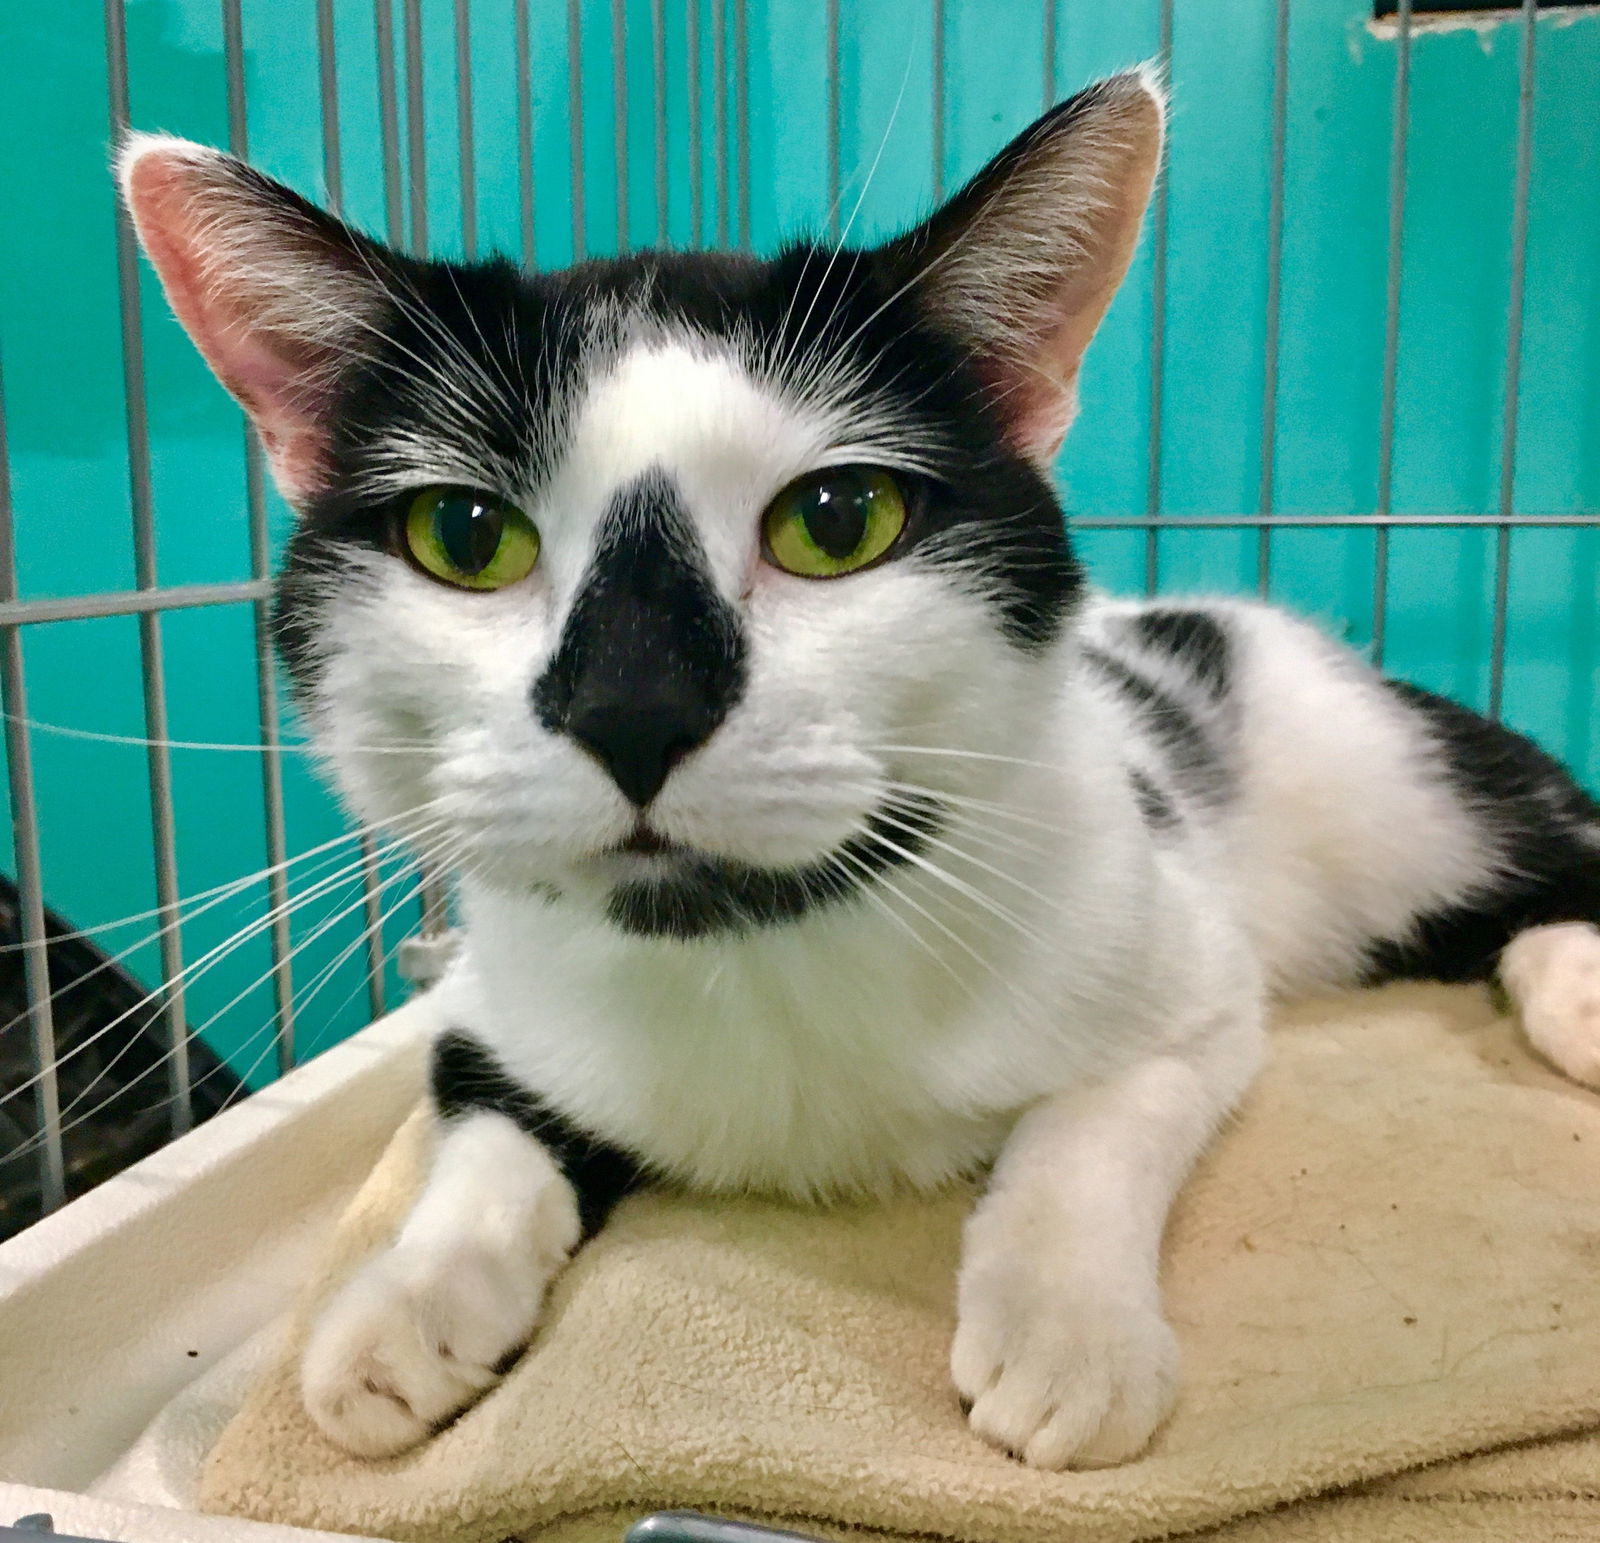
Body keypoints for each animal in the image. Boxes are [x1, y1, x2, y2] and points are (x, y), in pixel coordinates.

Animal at [116, 72, 1600, 1472]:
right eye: (464, 534)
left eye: (839, 520)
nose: (634, 705)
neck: (751, 945)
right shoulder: (491, 999)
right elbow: (484, 1129)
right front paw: (404, 1303)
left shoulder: (1187, 973)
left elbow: (1094, 1124)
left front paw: (1064, 1331)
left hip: (1385, 782)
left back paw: (1576, 988)